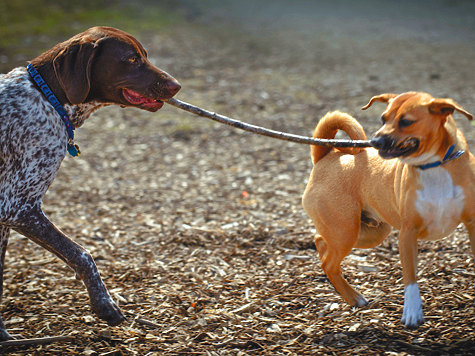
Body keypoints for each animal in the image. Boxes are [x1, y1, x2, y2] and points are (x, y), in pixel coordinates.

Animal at [0, 25, 180, 340]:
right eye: (131, 59)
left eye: (144, 55)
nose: (176, 85)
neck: (47, 97)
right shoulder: (18, 207)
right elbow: (82, 254)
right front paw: (104, 304)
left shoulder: (5, 216)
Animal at [304, 92, 474, 328]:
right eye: (383, 119)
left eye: (406, 121)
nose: (374, 142)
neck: (434, 166)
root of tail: (328, 154)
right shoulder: (408, 233)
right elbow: (410, 277)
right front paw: (412, 312)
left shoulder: (472, 224)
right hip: (346, 232)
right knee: (329, 263)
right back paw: (354, 297)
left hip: (366, 233)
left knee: (320, 241)